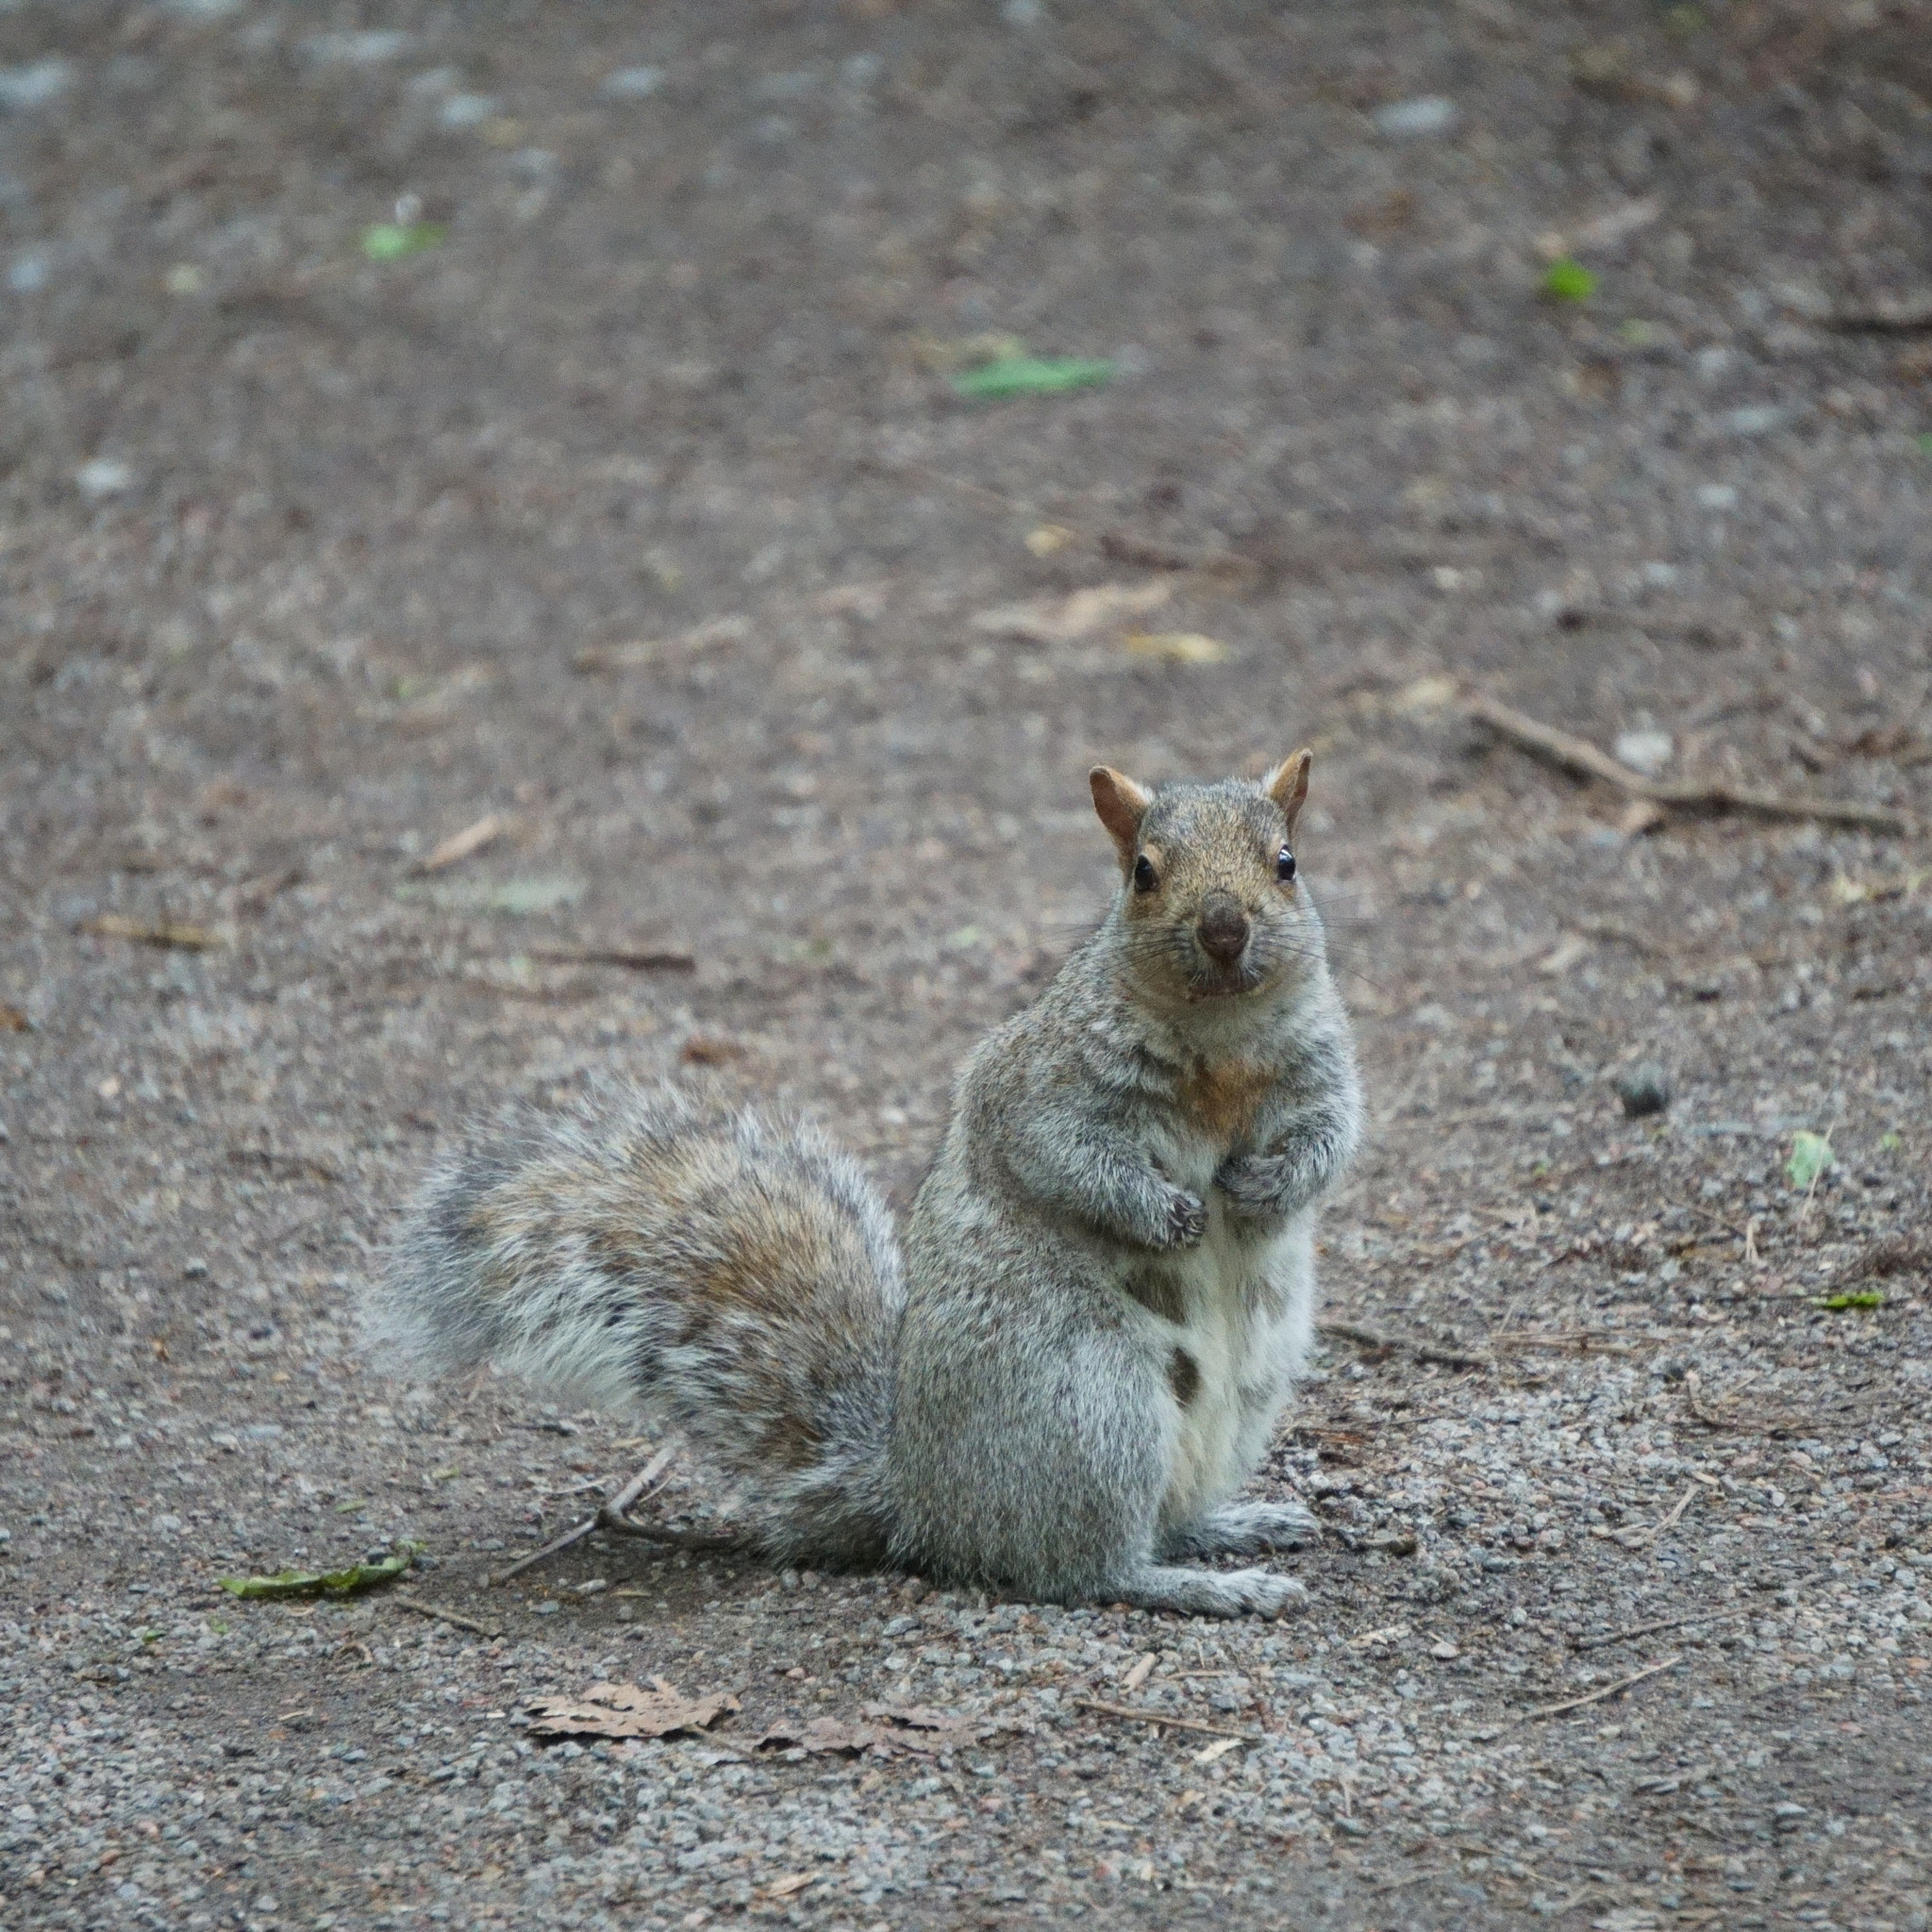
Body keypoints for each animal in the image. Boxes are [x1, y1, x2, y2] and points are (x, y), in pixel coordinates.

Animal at [376, 753, 1367, 1615]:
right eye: (1143, 874)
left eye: (1287, 862)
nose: (1224, 927)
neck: (1220, 1042)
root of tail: (921, 1500)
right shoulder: (1036, 1089)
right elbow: (1064, 1158)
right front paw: (1165, 1213)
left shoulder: (1324, 1075)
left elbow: (1333, 1140)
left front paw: (1270, 1187)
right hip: (1088, 1404)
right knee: (1082, 1569)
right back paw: (1202, 1585)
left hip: (1236, 1404)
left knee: (1164, 1519)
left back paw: (1235, 1527)